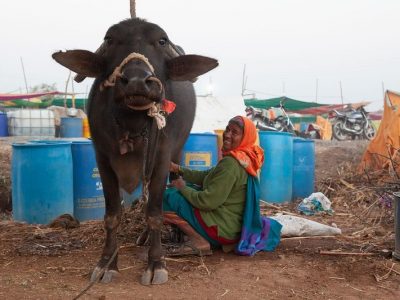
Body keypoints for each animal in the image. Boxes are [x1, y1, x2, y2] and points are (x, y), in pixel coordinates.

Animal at [52, 17, 219, 284]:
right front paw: (106, 264)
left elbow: (155, 213)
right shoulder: (103, 159)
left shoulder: (161, 158)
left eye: (161, 41)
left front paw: (156, 263)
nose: (137, 81)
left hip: (176, 154)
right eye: (110, 40)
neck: (132, 122)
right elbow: (112, 215)